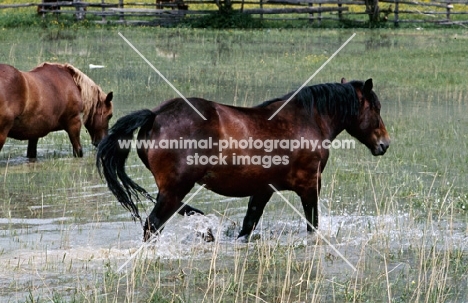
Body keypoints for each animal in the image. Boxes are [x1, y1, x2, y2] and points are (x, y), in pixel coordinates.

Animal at [97, 78, 390, 242]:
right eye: (376, 108)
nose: (384, 144)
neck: (308, 120)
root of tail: (155, 115)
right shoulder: (310, 186)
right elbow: (312, 225)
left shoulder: (262, 190)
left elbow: (248, 226)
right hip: (174, 190)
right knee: (152, 226)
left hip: (171, 191)